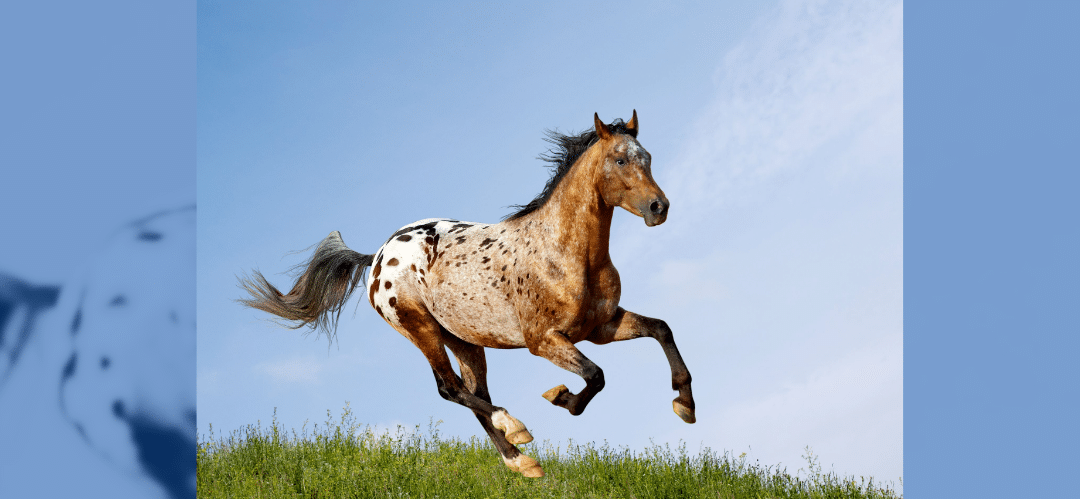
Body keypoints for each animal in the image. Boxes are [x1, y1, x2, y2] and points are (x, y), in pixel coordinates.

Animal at [239, 111, 695, 478]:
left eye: (647, 157)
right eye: (620, 159)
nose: (659, 207)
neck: (565, 251)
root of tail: (378, 255)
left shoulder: (601, 327)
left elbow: (661, 329)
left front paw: (685, 403)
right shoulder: (544, 341)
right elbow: (595, 376)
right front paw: (561, 397)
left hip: (465, 340)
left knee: (475, 394)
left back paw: (522, 463)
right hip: (420, 328)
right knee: (450, 389)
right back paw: (517, 430)